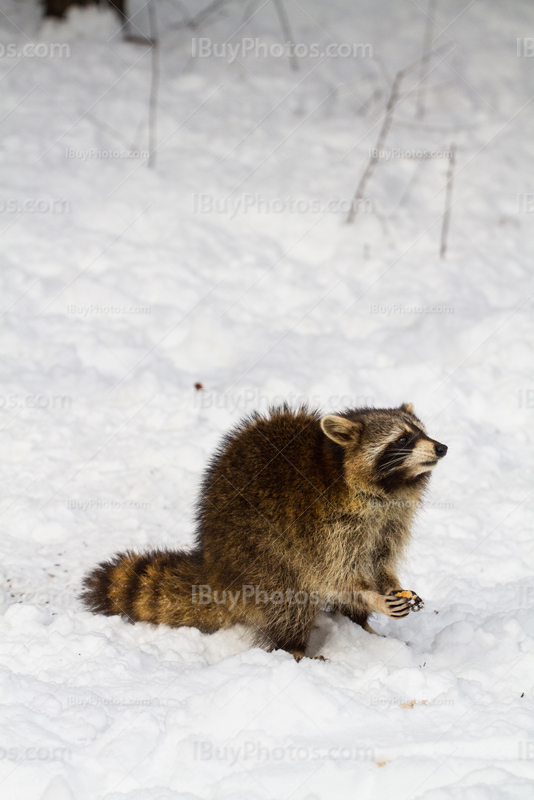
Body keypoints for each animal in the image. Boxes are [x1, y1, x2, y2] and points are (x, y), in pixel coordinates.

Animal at [82, 404, 448, 660]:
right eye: (403, 439)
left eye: (422, 432)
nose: (442, 447)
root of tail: (214, 567)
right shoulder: (326, 528)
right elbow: (338, 575)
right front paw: (373, 597)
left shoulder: (388, 522)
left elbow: (379, 560)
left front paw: (389, 587)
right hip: (257, 555)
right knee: (288, 598)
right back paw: (295, 647)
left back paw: (360, 626)